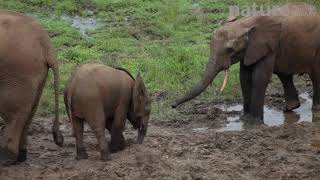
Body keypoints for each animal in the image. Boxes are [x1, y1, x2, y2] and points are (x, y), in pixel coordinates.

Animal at [0, 9, 64, 165]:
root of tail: (45, 41)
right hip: (35, 73)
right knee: (29, 111)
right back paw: (21, 156)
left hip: (18, 70)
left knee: (13, 114)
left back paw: (6, 159)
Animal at [172, 3, 320, 124]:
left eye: (230, 49)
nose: (172, 105)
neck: (244, 23)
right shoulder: (250, 50)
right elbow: (244, 77)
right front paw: (244, 119)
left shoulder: (268, 46)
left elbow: (259, 77)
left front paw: (254, 122)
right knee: (284, 74)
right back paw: (290, 108)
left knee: (315, 76)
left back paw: (316, 110)